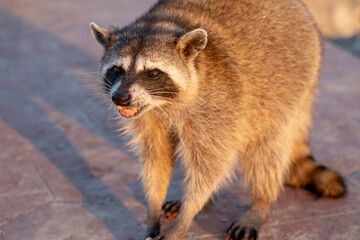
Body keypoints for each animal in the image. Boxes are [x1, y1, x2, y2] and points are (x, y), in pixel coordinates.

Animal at [89, 0, 346, 239]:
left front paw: (186, 217)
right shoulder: (148, 117)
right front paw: (153, 209)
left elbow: (211, 164)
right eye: (117, 70)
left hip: (290, 84)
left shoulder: (218, 106)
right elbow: (157, 157)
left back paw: (260, 203)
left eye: (152, 73)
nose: (120, 98)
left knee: (266, 149)